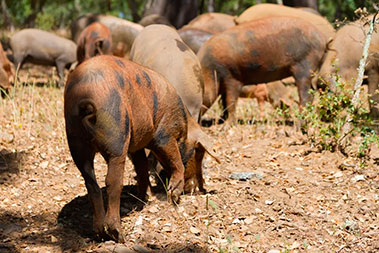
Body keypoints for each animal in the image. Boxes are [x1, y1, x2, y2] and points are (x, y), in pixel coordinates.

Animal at [197, 16, 328, 122]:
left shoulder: (232, 76)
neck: (210, 70)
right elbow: (224, 102)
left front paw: (227, 125)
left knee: (305, 95)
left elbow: (231, 101)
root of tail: (322, 38)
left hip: (305, 66)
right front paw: (222, 120)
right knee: (313, 92)